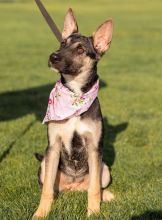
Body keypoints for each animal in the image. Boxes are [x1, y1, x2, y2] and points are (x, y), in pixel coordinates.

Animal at [32, 7, 113, 219]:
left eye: (80, 50)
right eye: (62, 43)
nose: (53, 57)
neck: (75, 96)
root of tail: (74, 187)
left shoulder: (94, 147)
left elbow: (94, 189)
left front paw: (93, 212)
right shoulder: (53, 146)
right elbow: (46, 190)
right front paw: (41, 213)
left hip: (104, 168)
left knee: (94, 186)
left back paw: (106, 195)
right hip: (44, 164)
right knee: (52, 187)